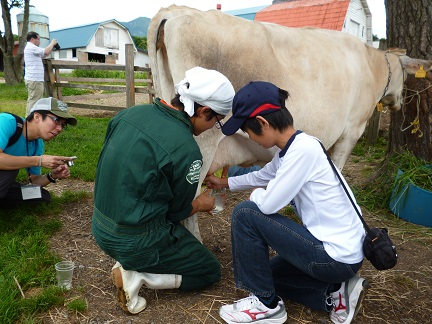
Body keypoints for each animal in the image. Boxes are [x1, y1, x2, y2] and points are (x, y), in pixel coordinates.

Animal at [148, 3, 432, 239]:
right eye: (405, 76)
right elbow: (337, 170)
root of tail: (174, 11)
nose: (399, 102)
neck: (371, 65)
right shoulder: (351, 131)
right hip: (201, 143)